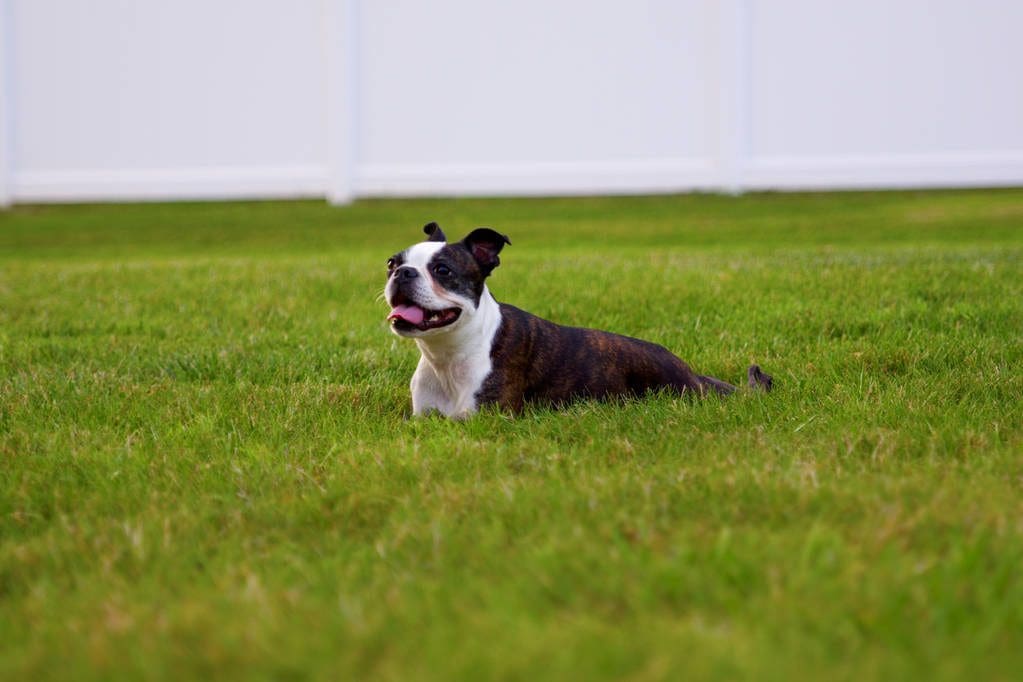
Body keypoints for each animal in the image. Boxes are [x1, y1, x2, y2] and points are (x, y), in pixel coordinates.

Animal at [386, 223, 769, 417]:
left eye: (442, 270)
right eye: (392, 263)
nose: (402, 273)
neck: (447, 354)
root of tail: (690, 373)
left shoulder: (488, 419)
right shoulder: (422, 418)